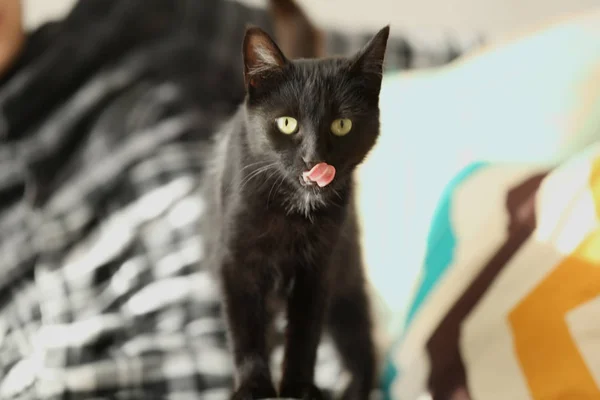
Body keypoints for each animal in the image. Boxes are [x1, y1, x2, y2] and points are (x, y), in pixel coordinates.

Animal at [206, 25, 392, 400]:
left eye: (341, 125)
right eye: (288, 123)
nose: (314, 158)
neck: (293, 210)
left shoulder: (318, 268)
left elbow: (305, 332)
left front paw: (297, 387)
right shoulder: (235, 264)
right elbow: (246, 330)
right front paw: (254, 386)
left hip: (348, 276)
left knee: (358, 340)